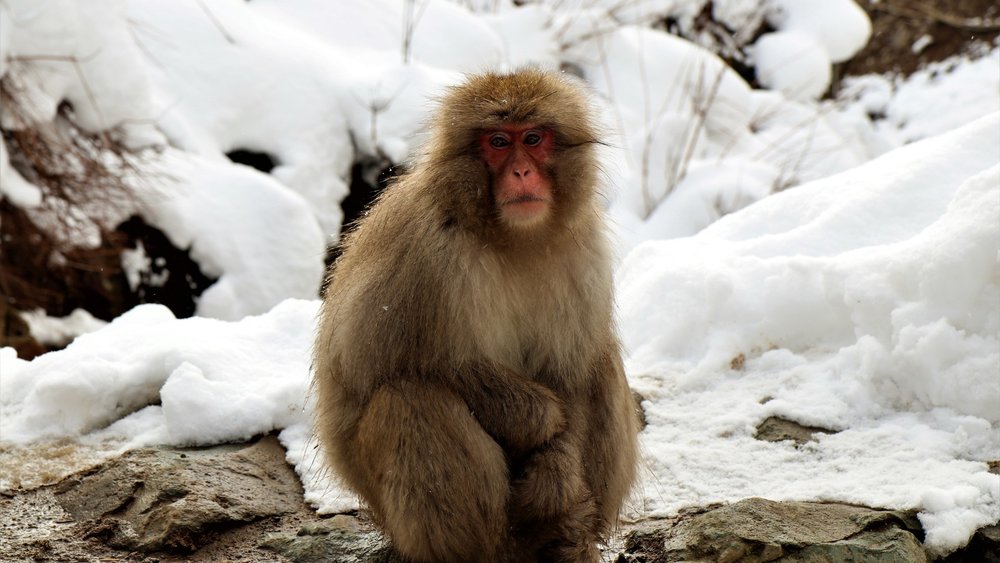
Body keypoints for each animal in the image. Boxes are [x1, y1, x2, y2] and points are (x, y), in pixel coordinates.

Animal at [312, 68, 639, 562]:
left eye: (534, 138)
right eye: (499, 142)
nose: (522, 171)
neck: (511, 238)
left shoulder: (584, 252)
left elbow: (571, 372)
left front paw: (557, 473)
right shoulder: (426, 251)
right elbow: (381, 363)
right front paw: (540, 417)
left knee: (601, 360)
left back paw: (567, 536)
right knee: (409, 398)